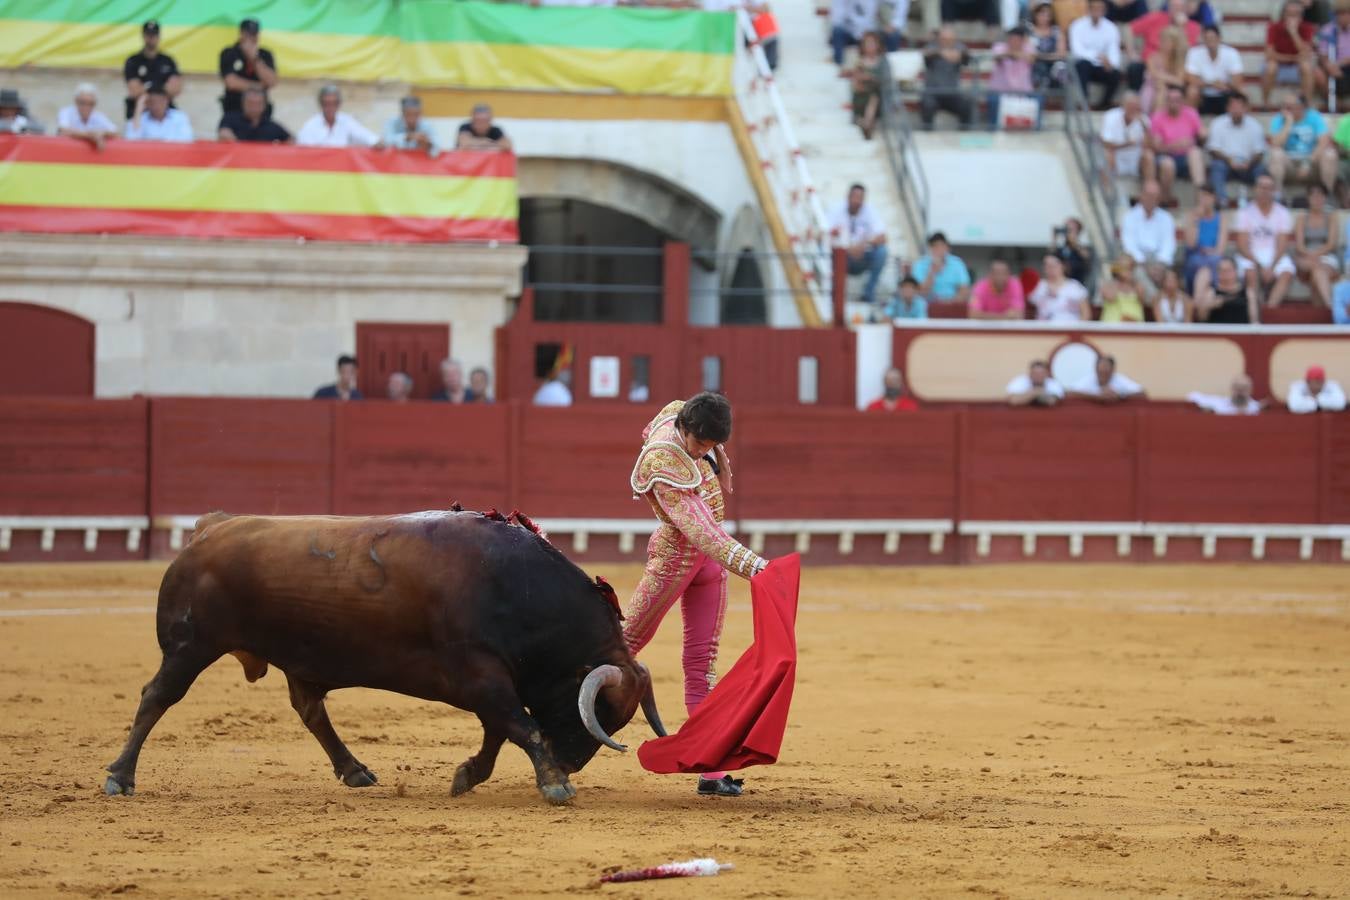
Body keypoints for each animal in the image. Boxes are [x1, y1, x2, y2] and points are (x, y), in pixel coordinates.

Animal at [108, 510, 666, 804]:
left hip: (296, 658)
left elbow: (500, 731)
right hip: (190, 647)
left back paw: (354, 770)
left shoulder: (488, 682)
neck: (515, 588)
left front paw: (469, 775)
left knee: (310, 709)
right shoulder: (480, 676)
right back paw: (120, 776)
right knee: (157, 696)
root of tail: (210, 528)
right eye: (598, 712)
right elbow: (519, 726)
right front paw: (553, 783)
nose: (570, 763)